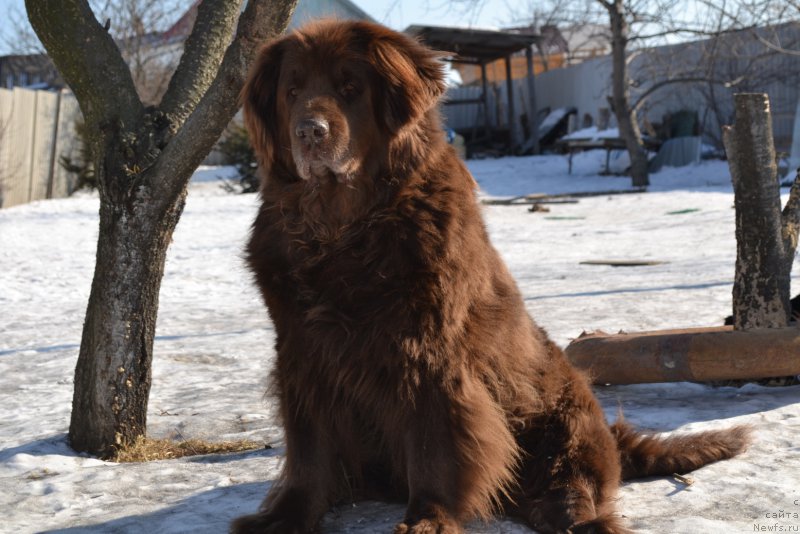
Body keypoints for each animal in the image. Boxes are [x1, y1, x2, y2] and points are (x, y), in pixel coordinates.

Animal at [231, 18, 752, 532]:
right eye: (292, 91)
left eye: (350, 87)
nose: (309, 131)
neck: (341, 228)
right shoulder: (302, 351)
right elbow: (309, 449)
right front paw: (286, 516)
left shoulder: (428, 352)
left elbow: (433, 443)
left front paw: (428, 519)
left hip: (567, 415)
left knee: (581, 490)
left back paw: (569, 513)